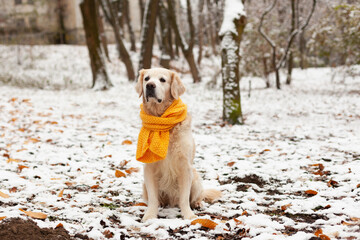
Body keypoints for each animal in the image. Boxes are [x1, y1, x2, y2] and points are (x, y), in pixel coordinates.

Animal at [134, 67, 219, 221]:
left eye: (162, 80)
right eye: (147, 78)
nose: (150, 86)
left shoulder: (185, 167)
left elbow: (184, 198)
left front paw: (189, 216)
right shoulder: (149, 168)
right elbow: (153, 199)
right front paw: (150, 216)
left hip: (195, 179)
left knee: (197, 196)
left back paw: (198, 203)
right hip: (144, 185)